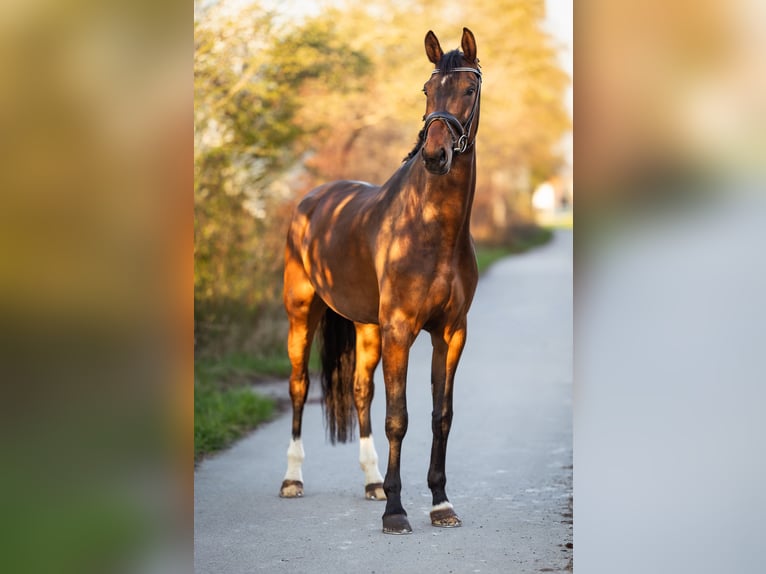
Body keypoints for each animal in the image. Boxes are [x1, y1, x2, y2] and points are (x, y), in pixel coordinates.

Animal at [279, 27, 482, 535]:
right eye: (427, 90)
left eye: (469, 89)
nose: (434, 155)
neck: (433, 228)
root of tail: (310, 199)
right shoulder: (400, 330)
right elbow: (398, 418)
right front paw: (396, 511)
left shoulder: (450, 333)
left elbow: (440, 416)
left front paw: (440, 504)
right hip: (301, 315)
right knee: (298, 386)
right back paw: (292, 479)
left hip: (366, 327)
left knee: (359, 391)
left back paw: (371, 482)